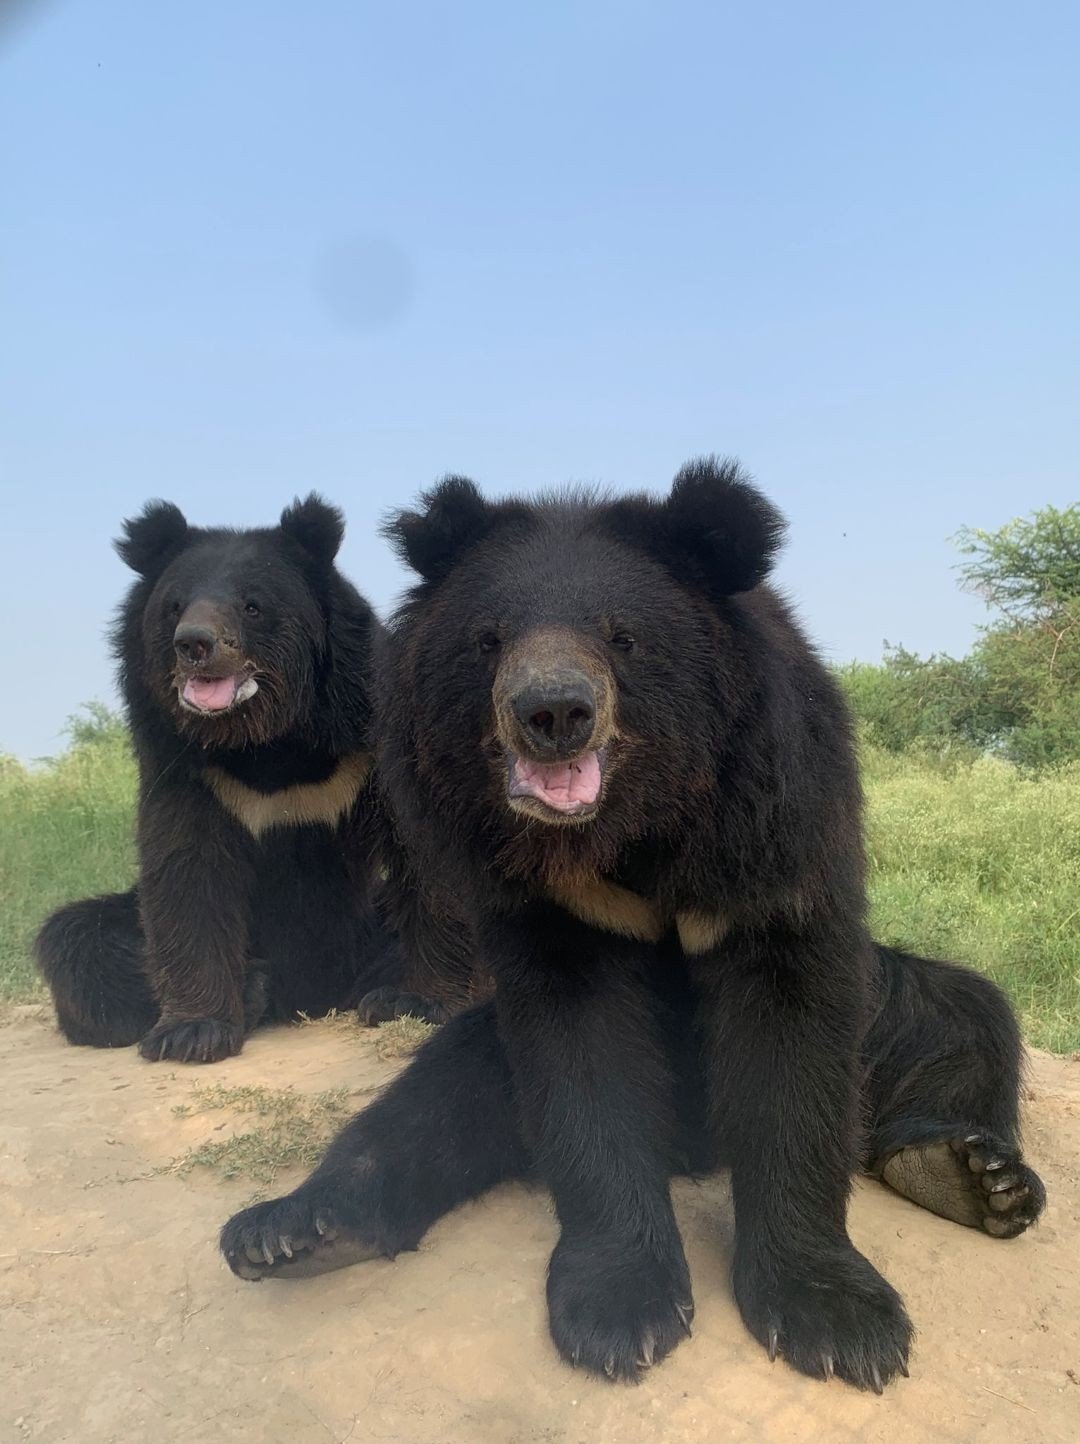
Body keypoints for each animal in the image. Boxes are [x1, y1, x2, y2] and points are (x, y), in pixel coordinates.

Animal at [36, 494, 401, 1064]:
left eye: (252, 606)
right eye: (175, 606)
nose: (195, 644)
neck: (262, 739)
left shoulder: (364, 730)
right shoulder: (182, 762)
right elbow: (189, 868)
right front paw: (192, 1032)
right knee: (74, 939)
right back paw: (254, 987)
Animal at [220, 460, 1045, 1391]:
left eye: (624, 639)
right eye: (489, 641)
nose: (553, 713)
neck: (626, 826)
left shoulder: (775, 818)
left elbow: (794, 1045)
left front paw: (838, 1321)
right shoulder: (549, 902)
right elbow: (583, 1063)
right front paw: (621, 1312)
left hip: (891, 1007)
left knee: (964, 1019)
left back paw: (970, 1175)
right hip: (478, 1047)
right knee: (434, 1092)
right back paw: (295, 1233)